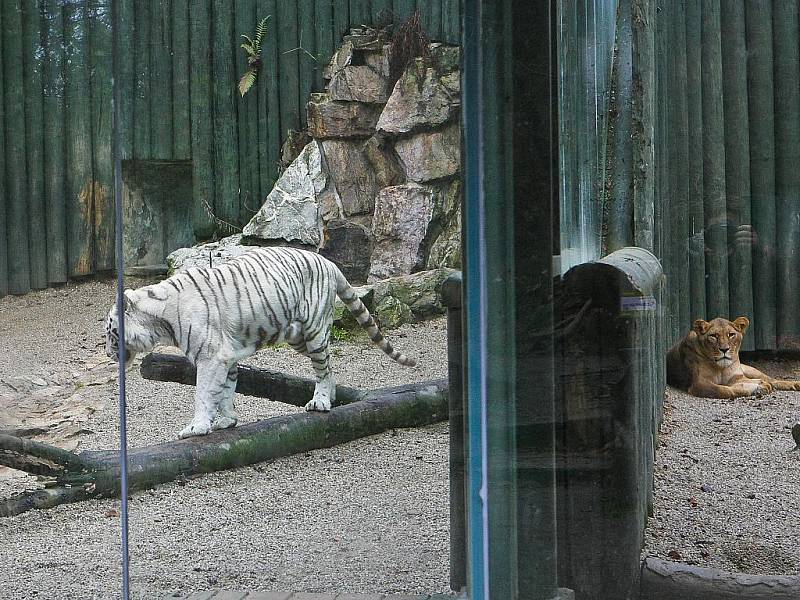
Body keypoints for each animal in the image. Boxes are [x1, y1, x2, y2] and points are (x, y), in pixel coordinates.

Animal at [105, 246, 416, 438]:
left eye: (111, 332)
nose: (108, 354)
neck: (160, 321)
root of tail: (328, 262)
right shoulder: (226, 357)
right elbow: (226, 390)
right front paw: (226, 421)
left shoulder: (211, 357)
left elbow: (204, 394)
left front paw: (197, 428)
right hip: (298, 337)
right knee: (329, 367)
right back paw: (331, 396)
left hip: (314, 331)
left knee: (323, 368)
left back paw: (320, 402)